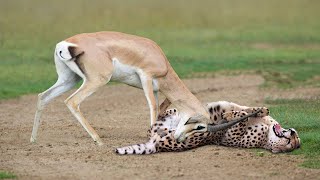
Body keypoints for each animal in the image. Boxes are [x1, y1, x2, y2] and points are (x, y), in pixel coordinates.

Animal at [116, 101, 302, 155]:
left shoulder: (231, 137)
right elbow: (247, 110)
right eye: (296, 139)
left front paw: (229, 116)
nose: (293, 132)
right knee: (163, 114)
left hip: (188, 135)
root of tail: (156, 143)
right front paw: (260, 110)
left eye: (292, 143)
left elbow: (239, 119)